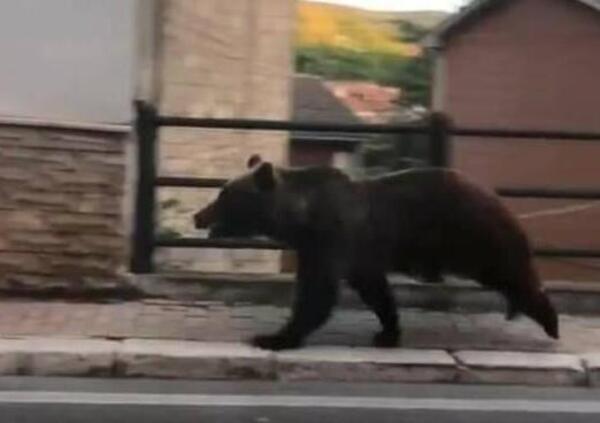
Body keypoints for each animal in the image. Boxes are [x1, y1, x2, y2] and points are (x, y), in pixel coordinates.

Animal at [195, 156, 560, 352]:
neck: (300, 218)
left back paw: (549, 321)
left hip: (477, 237)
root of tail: (497, 197)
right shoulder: (348, 253)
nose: (199, 215)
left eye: (223, 195)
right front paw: (387, 332)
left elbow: (318, 293)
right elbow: (375, 291)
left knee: (513, 273)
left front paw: (273, 337)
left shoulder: (332, 239)